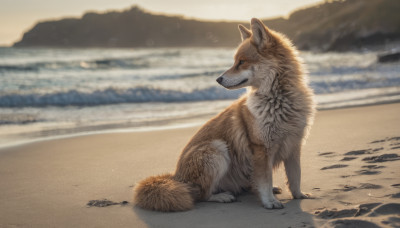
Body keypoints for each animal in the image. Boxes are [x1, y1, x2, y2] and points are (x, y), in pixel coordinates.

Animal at [134, 18, 316, 212]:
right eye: (235, 61)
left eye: (241, 62)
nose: (218, 79)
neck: (279, 100)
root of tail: (177, 178)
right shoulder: (262, 149)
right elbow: (265, 180)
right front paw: (269, 202)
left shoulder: (294, 146)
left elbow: (295, 177)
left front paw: (299, 196)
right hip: (217, 150)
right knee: (201, 194)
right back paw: (222, 196)